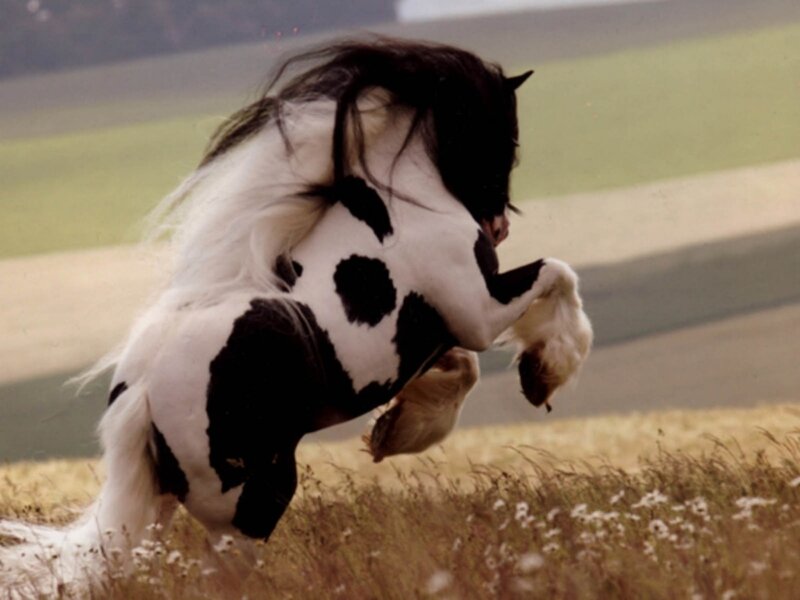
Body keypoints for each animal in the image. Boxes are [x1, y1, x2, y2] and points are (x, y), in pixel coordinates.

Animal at [0, 38, 592, 595]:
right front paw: (544, 374)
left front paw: (394, 434)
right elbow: (557, 274)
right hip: (249, 505)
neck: (404, 204)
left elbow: (462, 369)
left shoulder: (436, 334)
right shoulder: (478, 311)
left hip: (165, 502)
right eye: (507, 136)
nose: (497, 225)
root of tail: (142, 394)